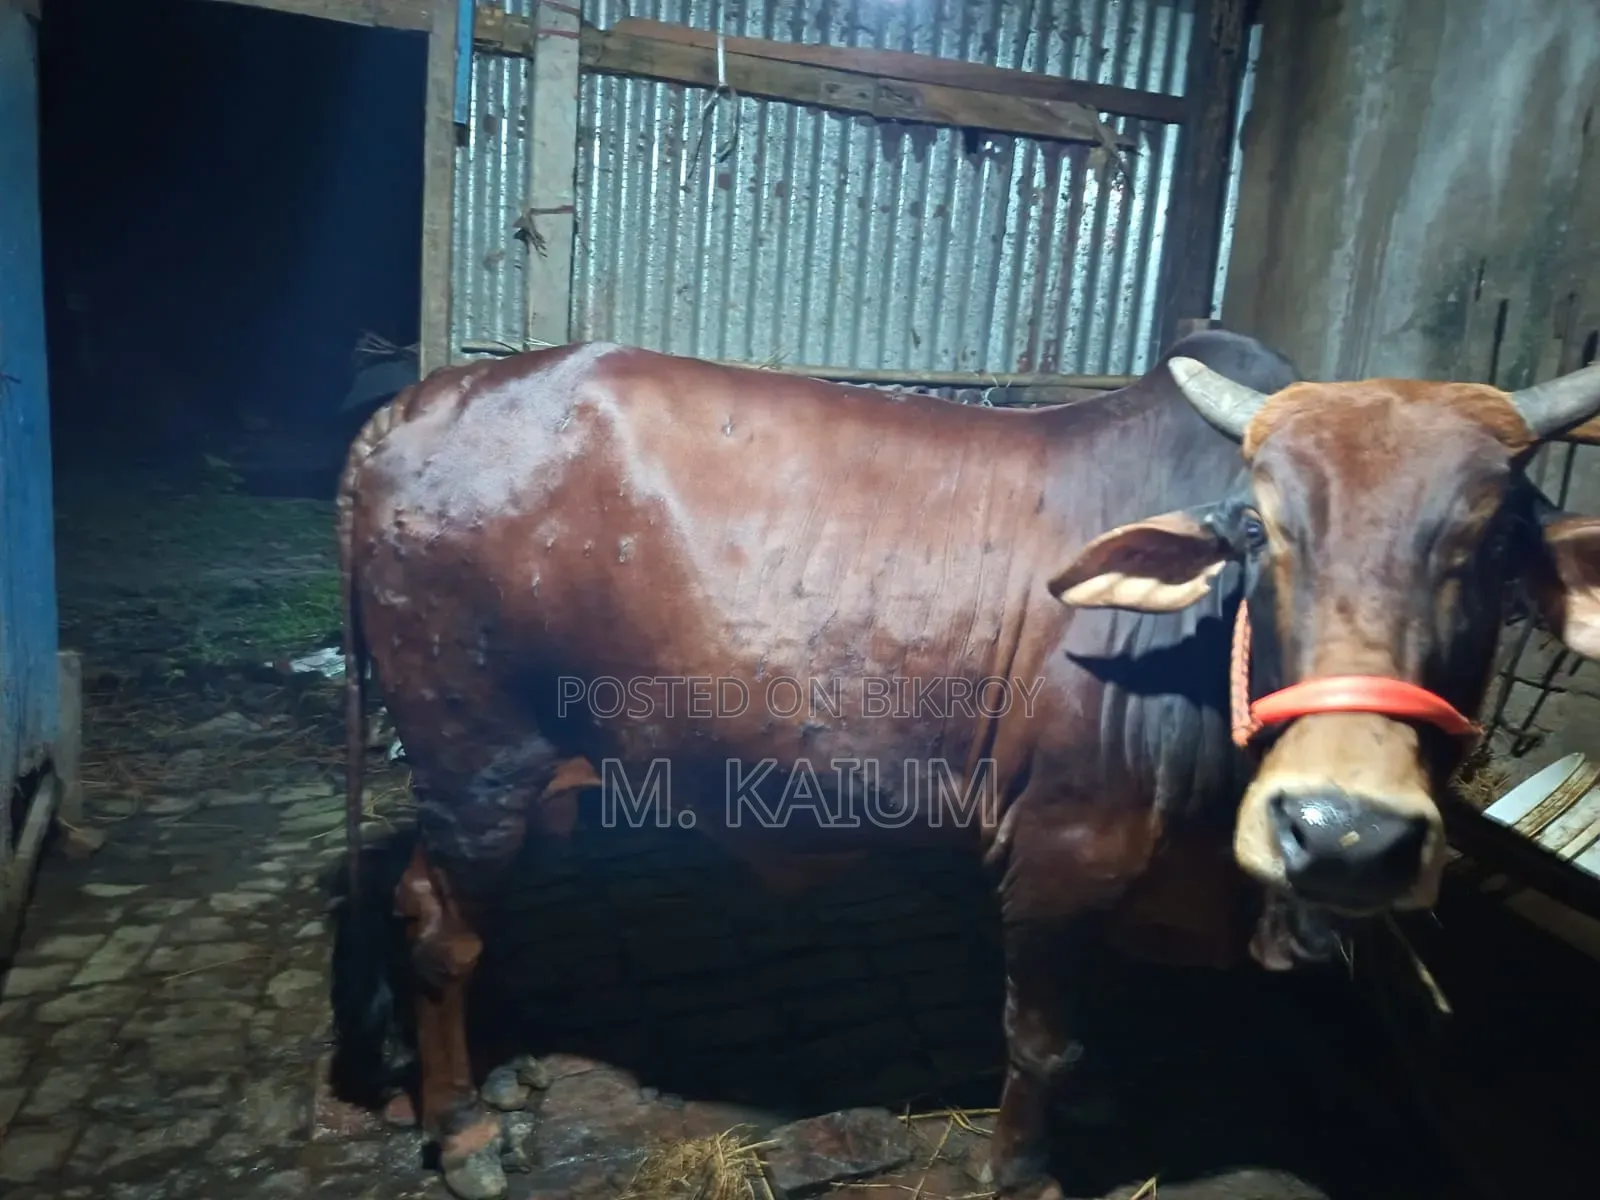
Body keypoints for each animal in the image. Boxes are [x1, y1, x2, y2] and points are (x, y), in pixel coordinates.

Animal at [328, 328, 1600, 1199]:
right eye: (1259, 530)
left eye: (1493, 542)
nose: (1341, 827)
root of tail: (410, 410)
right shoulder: (1060, 848)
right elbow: (1039, 1035)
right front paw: (1023, 1165)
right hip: (477, 756)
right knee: (441, 925)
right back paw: (459, 1127)